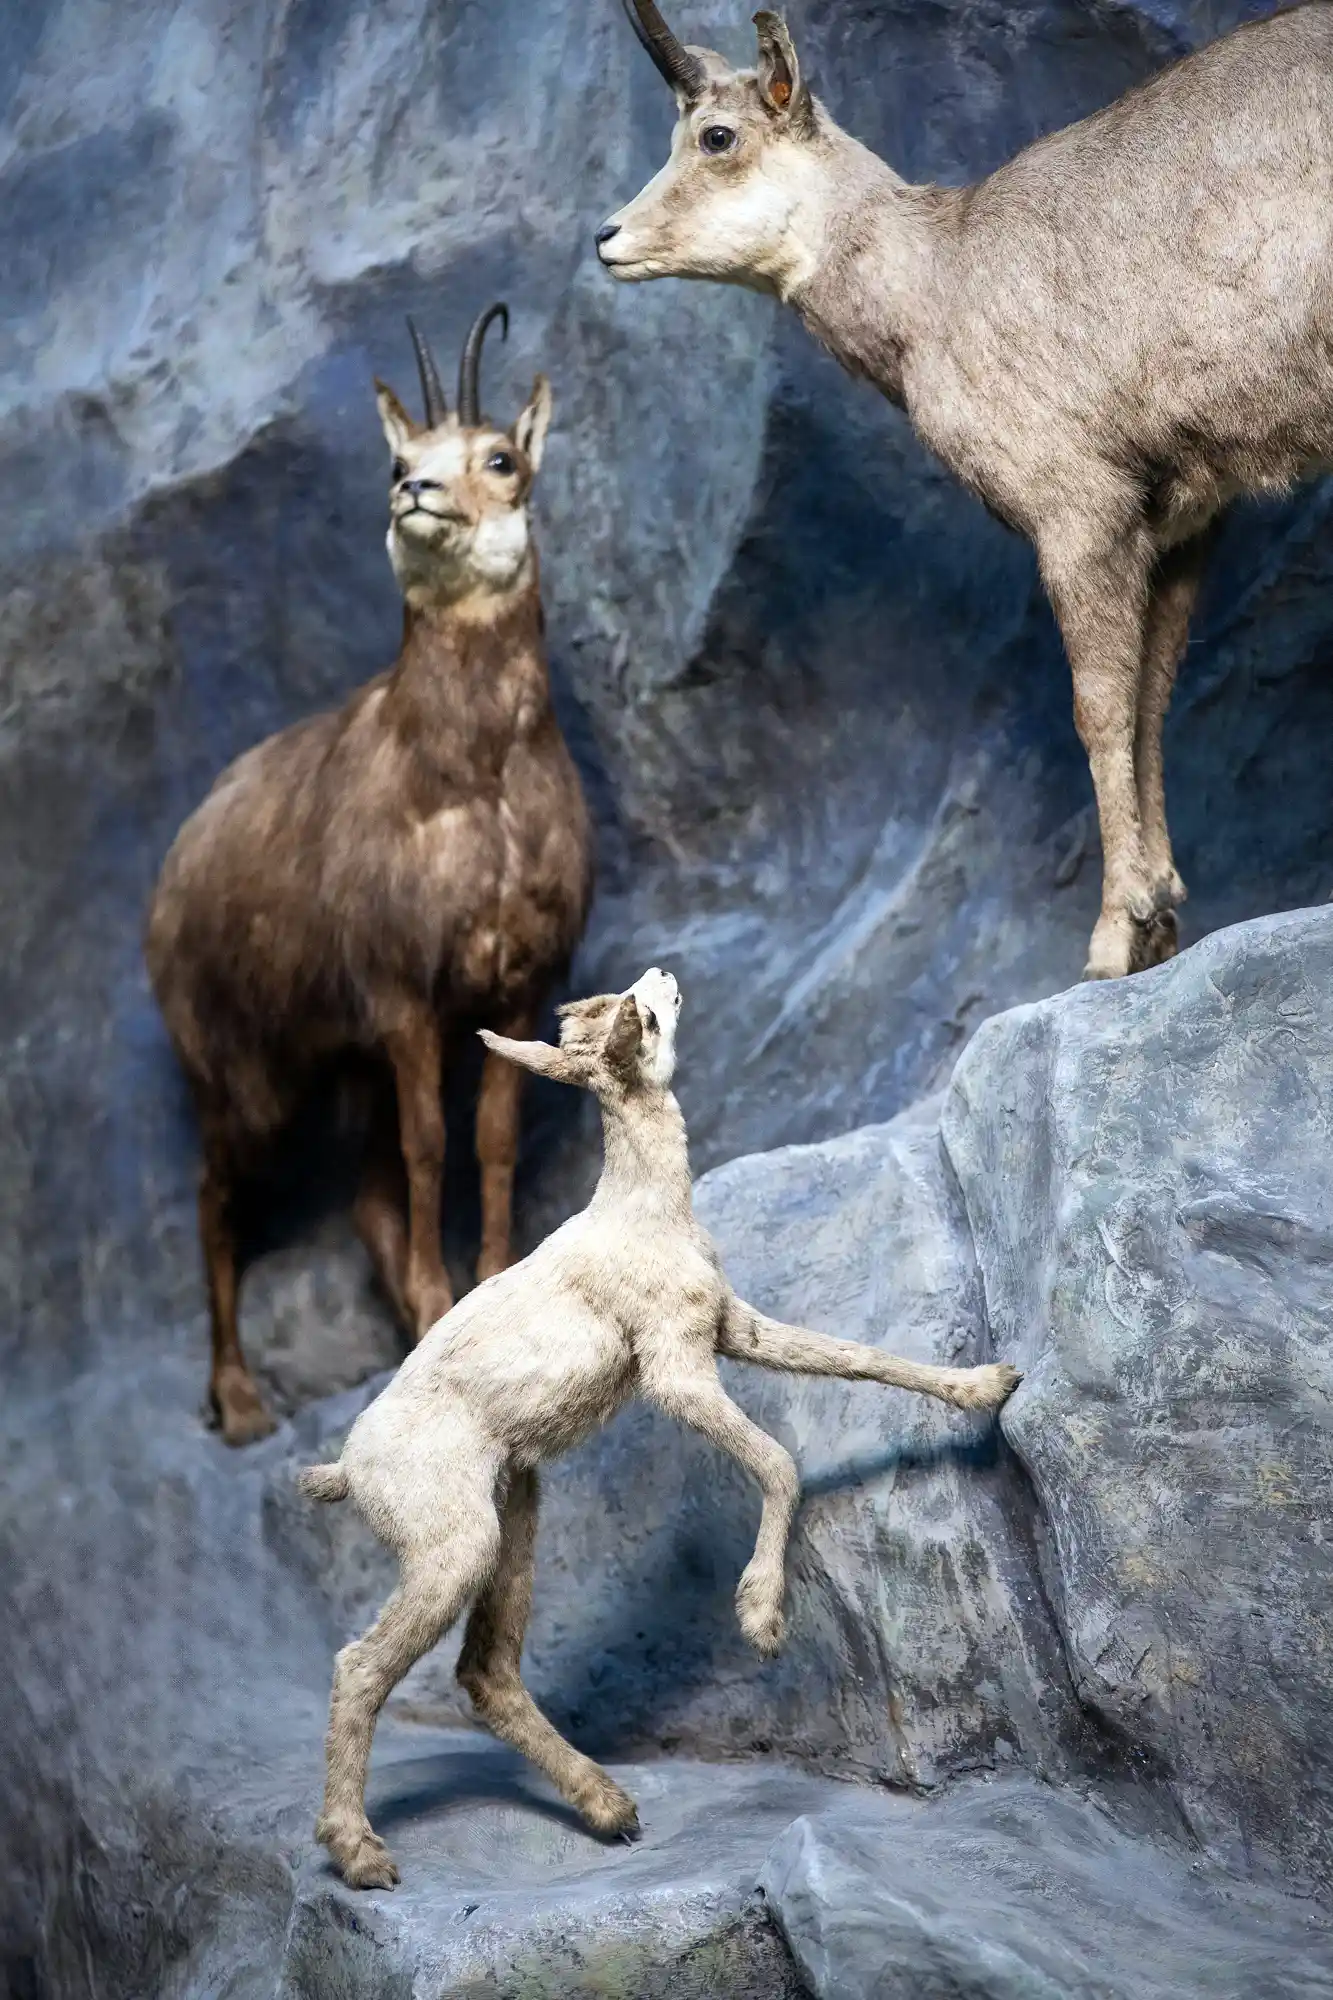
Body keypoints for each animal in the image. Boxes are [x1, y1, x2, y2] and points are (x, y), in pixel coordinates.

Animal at [146, 308, 591, 1446]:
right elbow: (434, 1145)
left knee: (360, 1195)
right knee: (215, 1197)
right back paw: (240, 1402)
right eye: (399, 457)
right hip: (243, 1074)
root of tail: (173, 872)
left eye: (501, 456)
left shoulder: (517, 986)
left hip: (336, 1063)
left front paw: (481, 1289)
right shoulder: (402, 997)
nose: (416, 494)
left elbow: (491, 1142)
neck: (473, 785)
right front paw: (441, 1306)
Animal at [297, 966, 1021, 1889]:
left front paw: (990, 1385)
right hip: (450, 1550)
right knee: (360, 1666)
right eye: (641, 1017)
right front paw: (761, 1619)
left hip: (513, 1518)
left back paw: (611, 1809)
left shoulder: (732, 1328)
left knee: (486, 1671)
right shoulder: (677, 1371)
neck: (644, 1210)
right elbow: (778, 1461)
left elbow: (855, 1355)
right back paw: (362, 1853)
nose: (662, 975)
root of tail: (344, 1472)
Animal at [600, 2, 1333, 981]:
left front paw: (1111, 936)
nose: (606, 238)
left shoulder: (1076, 507)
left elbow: (1097, 708)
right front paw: (1159, 919)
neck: (936, 289)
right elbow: (1150, 696)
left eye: (717, 134)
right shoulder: (1180, 516)